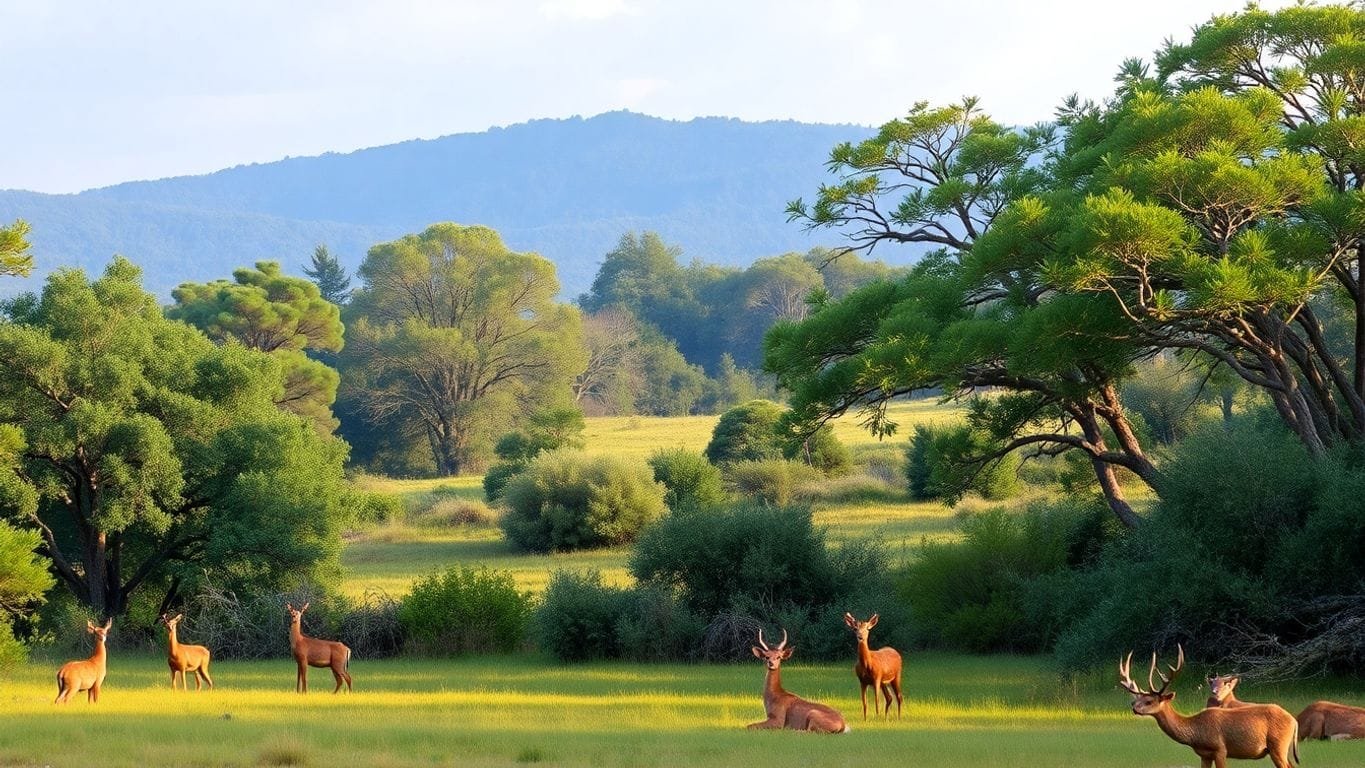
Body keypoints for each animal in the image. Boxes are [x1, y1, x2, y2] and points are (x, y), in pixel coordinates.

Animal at [1119, 649, 1299, 768]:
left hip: (1278, 744)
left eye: (1149, 701)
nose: (1134, 708)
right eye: (1136, 700)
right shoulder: (1204, 755)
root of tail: (1294, 720)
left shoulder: (1220, 749)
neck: (1196, 732)